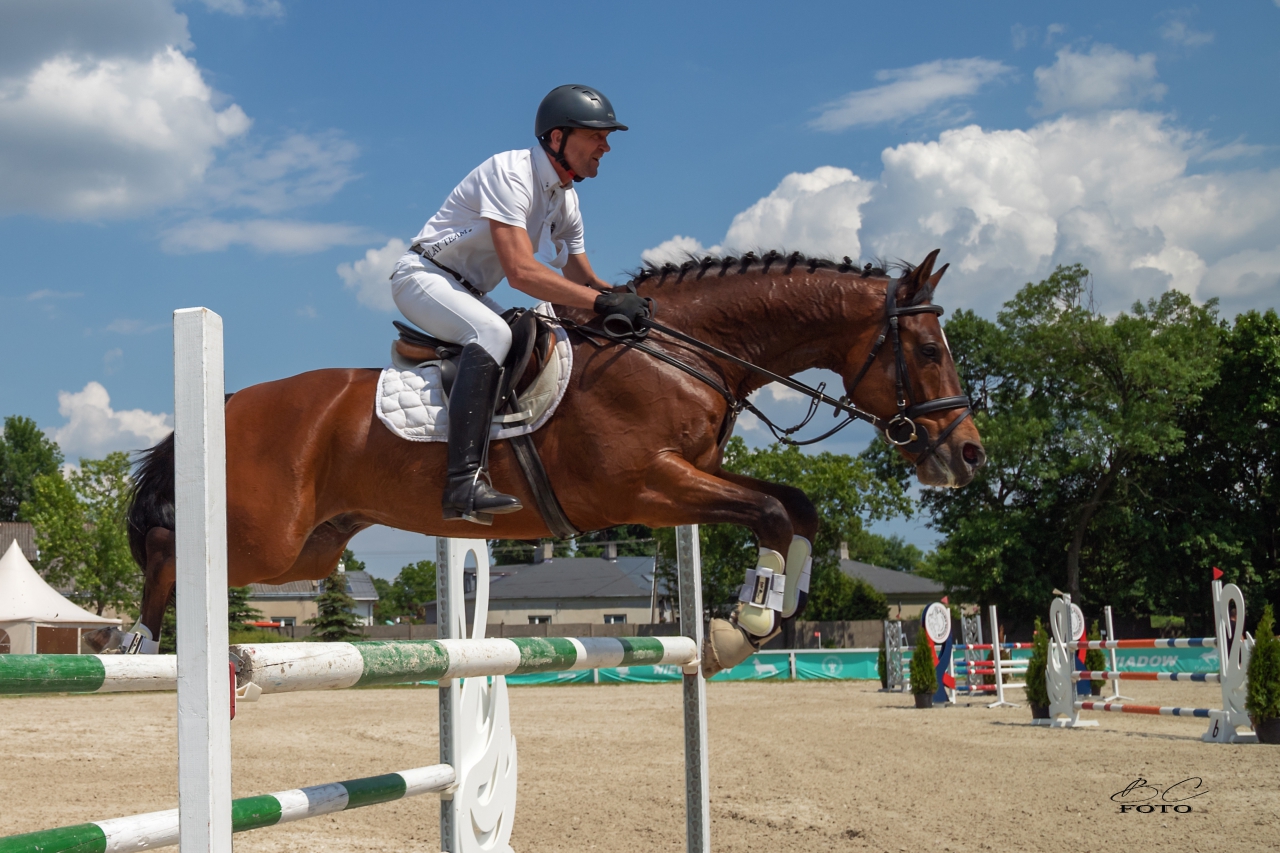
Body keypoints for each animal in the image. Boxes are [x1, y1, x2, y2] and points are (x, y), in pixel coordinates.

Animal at [99, 245, 983, 671]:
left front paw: (770, 611)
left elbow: (796, 504)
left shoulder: (691, 475)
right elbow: (770, 507)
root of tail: (230, 401)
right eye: (929, 350)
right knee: (173, 544)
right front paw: (750, 623)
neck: (681, 352)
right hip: (268, 535)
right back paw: (139, 638)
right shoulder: (646, 488)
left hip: (311, 547)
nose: (968, 456)